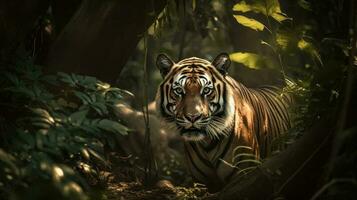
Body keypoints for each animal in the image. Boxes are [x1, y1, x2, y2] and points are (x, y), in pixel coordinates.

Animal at [156, 53, 292, 192]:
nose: (193, 117)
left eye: (206, 90)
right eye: (179, 90)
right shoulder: (203, 182)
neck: (207, 143)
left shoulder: (243, 177)